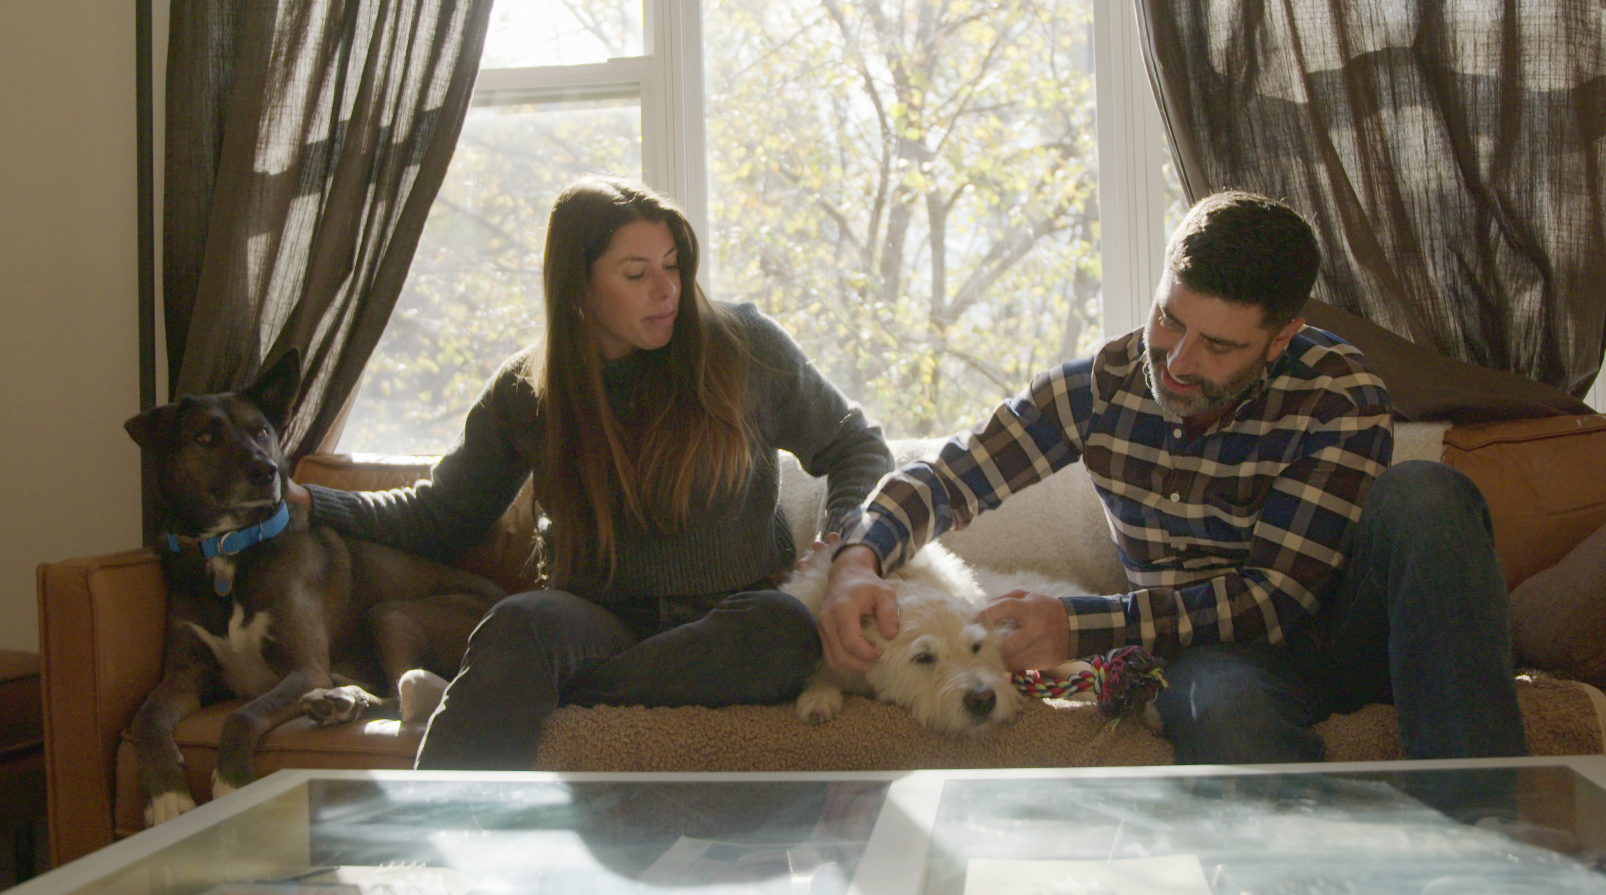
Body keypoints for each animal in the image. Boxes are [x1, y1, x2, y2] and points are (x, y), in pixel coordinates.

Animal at [122, 348, 501, 822]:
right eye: (205, 437)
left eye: (261, 431)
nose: (265, 472)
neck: (231, 547)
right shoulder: (186, 674)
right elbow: (146, 717)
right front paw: (167, 795)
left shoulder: (304, 668)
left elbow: (242, 716)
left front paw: (232, 784)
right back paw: (340, 703)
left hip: (387, 613)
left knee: (403, 699)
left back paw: (342, 704)